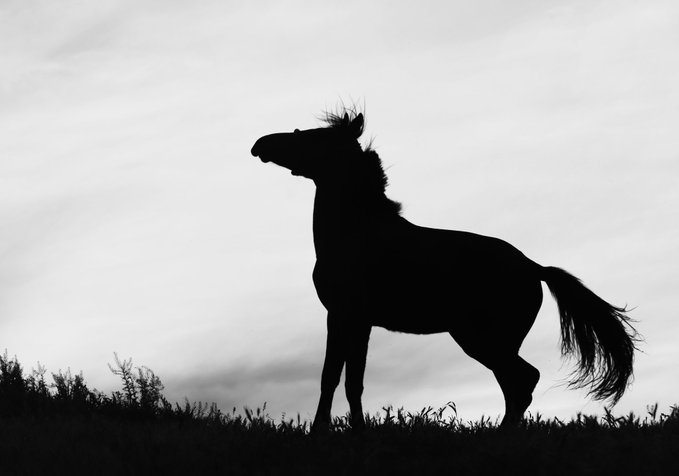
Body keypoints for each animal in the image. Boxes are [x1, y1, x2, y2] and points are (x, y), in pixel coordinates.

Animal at [250, 108, 639, 431]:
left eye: (310, 137)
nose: (260, 145)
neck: (357, 233)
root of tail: (533, 267)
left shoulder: (342, 315)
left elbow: (331, 376)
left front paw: (320, 430)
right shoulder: (360, 322)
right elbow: (353, 381)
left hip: (481, 338)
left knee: (523, 380)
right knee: (516, 383)